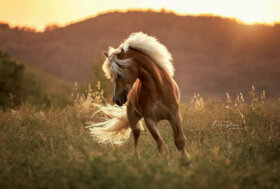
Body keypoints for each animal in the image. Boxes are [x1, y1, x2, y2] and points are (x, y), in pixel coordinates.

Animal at [88, 31, 191, 163]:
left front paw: (186, 162)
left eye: (119, 74)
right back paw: (136, 158)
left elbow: (180, 141)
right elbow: (162, 147)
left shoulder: (174, 114)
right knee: (136, 133)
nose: (116, 99)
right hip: (132, 117)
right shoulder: (150, 120)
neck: (158, 89)